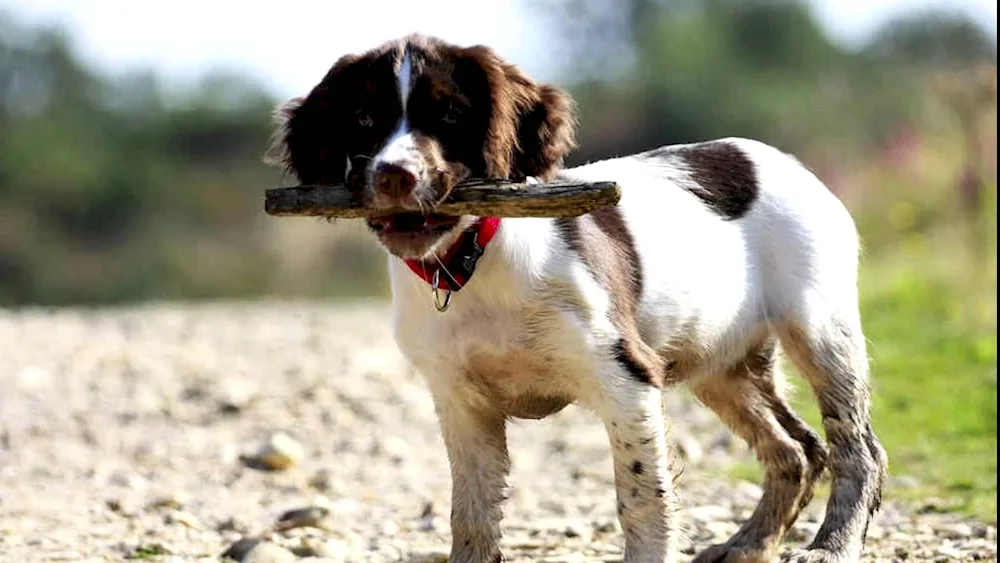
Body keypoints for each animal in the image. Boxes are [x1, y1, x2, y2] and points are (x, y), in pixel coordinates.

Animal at [264, 35, 884, 563]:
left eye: (451, 114)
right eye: (364, 119)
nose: (394, 175)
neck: (469, 262)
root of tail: (783, 159)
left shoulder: (627, 377)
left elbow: (642, 499)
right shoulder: (460, 400)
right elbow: (471, 514)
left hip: (821, 329)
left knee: (856, 450)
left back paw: (832, 546)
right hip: (720, 362)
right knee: (797, 449)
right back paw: (747, 544)